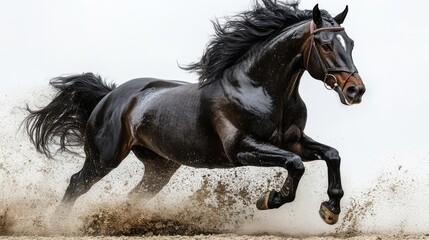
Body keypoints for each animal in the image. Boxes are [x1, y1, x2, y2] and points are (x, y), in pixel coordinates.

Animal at [23, 0, 364, 224]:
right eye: (325, 44)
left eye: (350, 41)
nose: (355, 91)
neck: (260, 89)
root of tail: (109, 96)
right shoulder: (243, 149)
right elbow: (295, 164)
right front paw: (269, 199)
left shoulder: (292, 141)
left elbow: (332, 154)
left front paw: (330, 209)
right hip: (103, 158)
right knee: (75, 185)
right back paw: (55, 225)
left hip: (159, 168)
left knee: (133, 196)